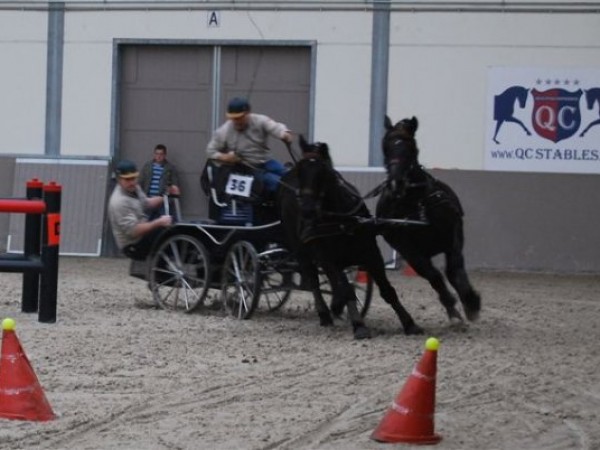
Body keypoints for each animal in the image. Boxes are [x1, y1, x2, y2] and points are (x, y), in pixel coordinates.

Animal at [276, 135, 422, 340]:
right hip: (303, 252)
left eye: (323, 171)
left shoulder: (371, 255)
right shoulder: (330, 259)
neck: (341, 219)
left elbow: (387, 290)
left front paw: (409, 323)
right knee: (313, 280)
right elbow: (346, 289)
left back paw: (335, 307)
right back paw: (325, 314)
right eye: (300, 170)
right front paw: (359, 325)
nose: (307, 210)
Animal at [376, 114, 482, 322]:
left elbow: (454, 268)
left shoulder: (453, 235)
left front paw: (471, 302)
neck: (416, 203)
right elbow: (433, 275)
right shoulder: (407, 249)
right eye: (385, 145)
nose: (396, 183)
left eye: (411, 146)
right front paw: (451, 307)